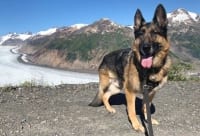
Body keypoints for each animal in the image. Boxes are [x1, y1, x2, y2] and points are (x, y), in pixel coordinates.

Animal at [90, 4, 171, 133]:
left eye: (155, 32)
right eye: (140, 34)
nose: (145, 47)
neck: (149, 70)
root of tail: (105, 57)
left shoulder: (150, 93)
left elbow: (145, 108)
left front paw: (147, 120)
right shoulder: (130, 92)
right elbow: (132, 110)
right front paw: (137, 125)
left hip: (117, 87)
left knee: (106, 96)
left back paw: (110, 108)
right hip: (108, 84)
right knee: (102, 95)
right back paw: (109, 109)